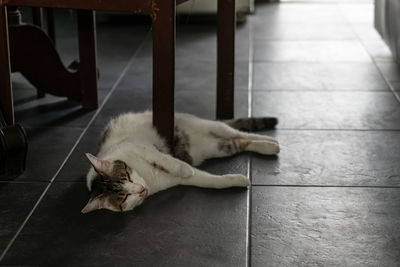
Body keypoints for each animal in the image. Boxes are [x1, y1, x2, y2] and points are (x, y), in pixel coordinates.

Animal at [82, 112, 280, 215]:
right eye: (124, 197)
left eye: (127, 175)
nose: (141, 189)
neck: (145, 175)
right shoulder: (173, 181)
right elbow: (210, 181)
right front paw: (238, 180)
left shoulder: (141, 147)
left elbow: (166, 160)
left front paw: (184, 169)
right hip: (219, 148)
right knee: (240, 142)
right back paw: (269, 147)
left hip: (210, 126)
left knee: (239, 132)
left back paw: (271, 141)